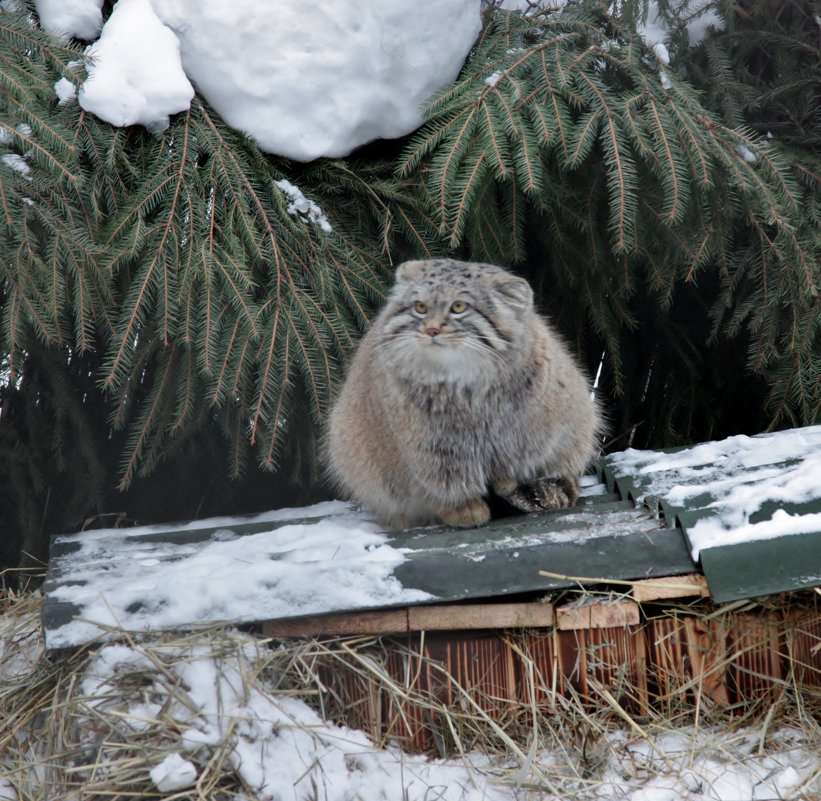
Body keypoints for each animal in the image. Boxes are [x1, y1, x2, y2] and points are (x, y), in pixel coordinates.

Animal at [326, 260, 604, 528]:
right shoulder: (431, 449)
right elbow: (443, 482)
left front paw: (515, 485)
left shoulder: (527, 434)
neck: (466, 383)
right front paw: (463, 508)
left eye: (458, 307)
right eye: (420, 307)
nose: (431, 330)